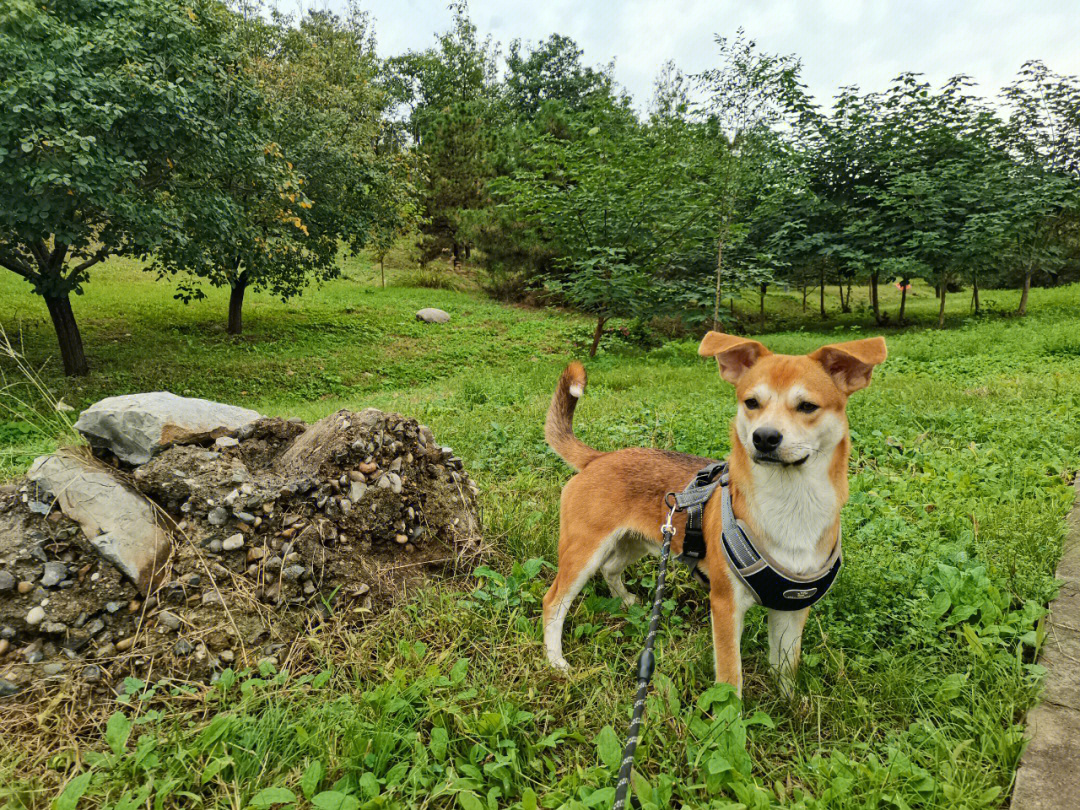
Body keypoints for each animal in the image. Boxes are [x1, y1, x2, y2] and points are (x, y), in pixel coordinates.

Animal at [540, 332, 885, 695]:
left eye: (807, 406)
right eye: (751, 402)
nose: (763, 437)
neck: (791, 504)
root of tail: (598, 457)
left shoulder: (792, 609)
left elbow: (785, 668)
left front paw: (789, 704)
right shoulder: (725, 604)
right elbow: (731, 679)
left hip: (636, 542)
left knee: (610, 569)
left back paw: (628, 601)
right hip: (583, 552)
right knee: (554, 602)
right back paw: (556, 661)